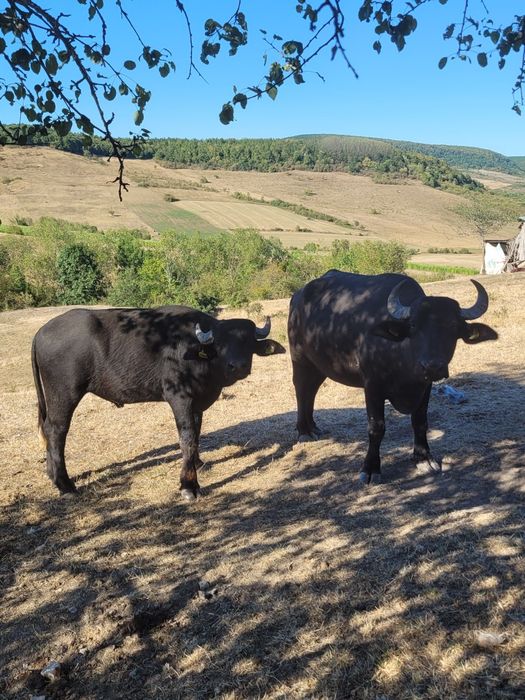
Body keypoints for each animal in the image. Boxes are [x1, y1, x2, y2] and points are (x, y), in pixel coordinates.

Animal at [32, 306, 285, 499]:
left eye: (248, 342)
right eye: (221, 343)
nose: (238, 366)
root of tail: (41, 332)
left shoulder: (197, 402)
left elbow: (197, 432)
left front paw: (198, 462)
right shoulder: (179, 398)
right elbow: (187, 438)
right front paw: (189, 485)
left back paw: (52, 474)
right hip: (64, 394)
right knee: (56, 431)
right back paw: (65, 485)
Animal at [288, 271, 498, 484]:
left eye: (453, 327)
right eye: (413, 325)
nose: (433, 366)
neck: (403, 364)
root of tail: (298, 296)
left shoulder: (425, 387)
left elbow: (420, 422)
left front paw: (424, 458)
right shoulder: (372, 387)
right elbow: (376, 428)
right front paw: (370, 469)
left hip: (319, 366)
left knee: (311, 390)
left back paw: (313, 427)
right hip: (300, 359)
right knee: (301, 389)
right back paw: (304, 431)